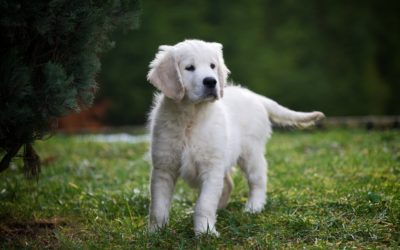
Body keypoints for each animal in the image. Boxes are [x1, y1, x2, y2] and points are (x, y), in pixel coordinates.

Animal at [145, 39, 324, 236]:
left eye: (212, 66)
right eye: (189, 67)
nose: (211, 81)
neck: (191, 117)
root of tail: (254, 96)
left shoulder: (211, 166)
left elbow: (204, 203)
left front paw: (205, 233)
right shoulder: (164, 167)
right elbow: (158, 206)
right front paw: (155, 232)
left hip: (251, 152)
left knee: (258, 179)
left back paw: (254, 207)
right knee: (228, 184)